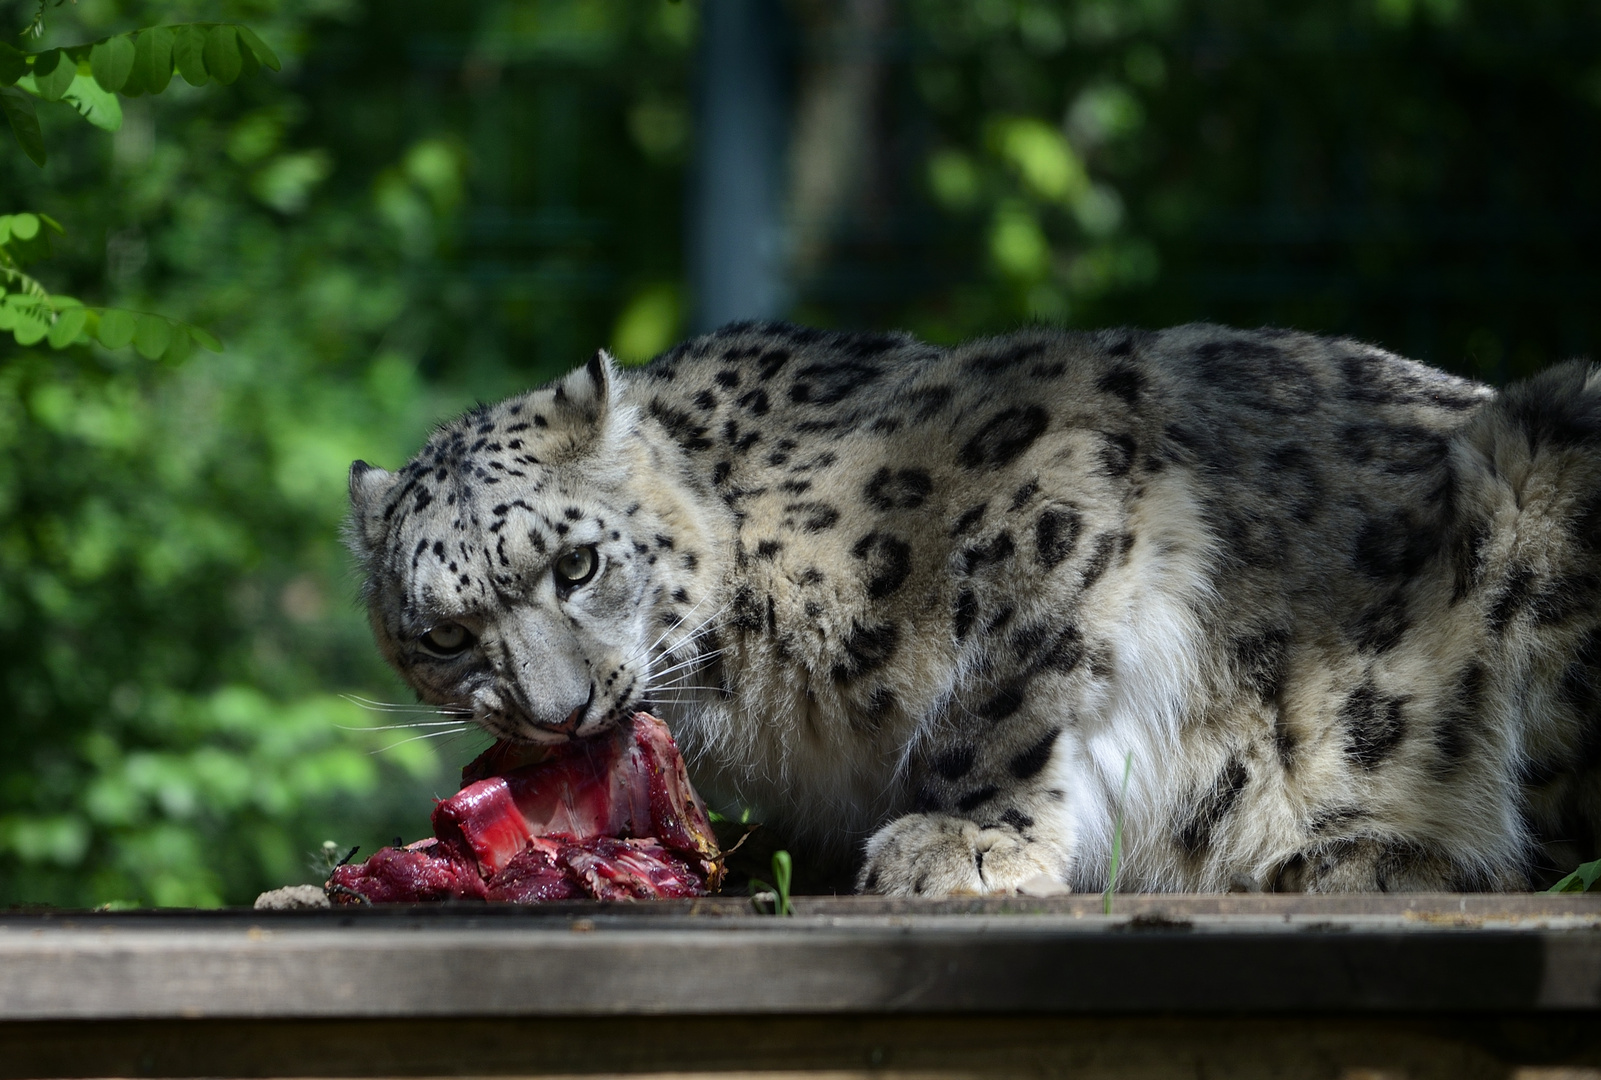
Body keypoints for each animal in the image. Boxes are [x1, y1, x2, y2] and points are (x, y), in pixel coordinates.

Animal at [344, 321, 1601, 896]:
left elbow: (1000, 692)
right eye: (443, 634)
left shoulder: (1055, 476)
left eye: (572, 565)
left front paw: (962, 843)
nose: (559, 713)